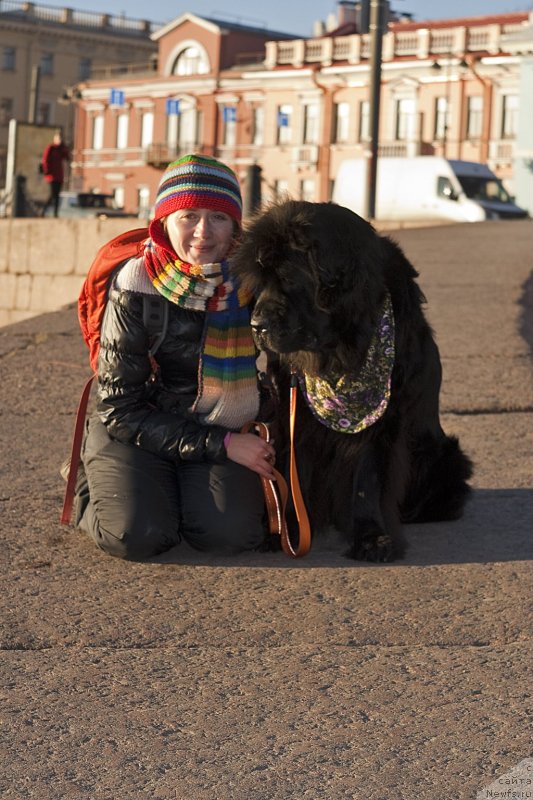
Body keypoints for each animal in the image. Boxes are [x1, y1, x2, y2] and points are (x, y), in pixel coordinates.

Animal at [231, 200, 472, 564]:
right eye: (259, 282)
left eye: (288, 277)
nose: (256, 325)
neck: (339, 349)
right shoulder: (292, 411)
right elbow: (290, 469)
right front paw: (283, 529)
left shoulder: (381, 419)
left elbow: (365, 480)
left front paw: (372, 538)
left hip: (443, 456)